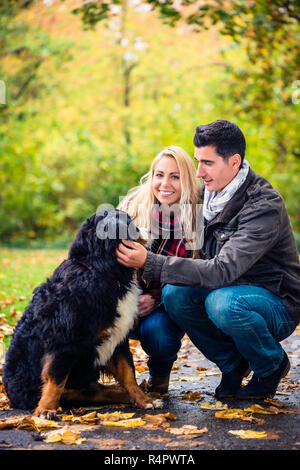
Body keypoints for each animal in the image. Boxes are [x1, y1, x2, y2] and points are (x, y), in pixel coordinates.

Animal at [2, 209, 162, 418]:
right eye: (130, 222)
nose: (153, 230)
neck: (102, 271)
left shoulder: (118, 338)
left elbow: (128, 373)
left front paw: (144, 400)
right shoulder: (65, 341)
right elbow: (56, 379)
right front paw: (45, 411)